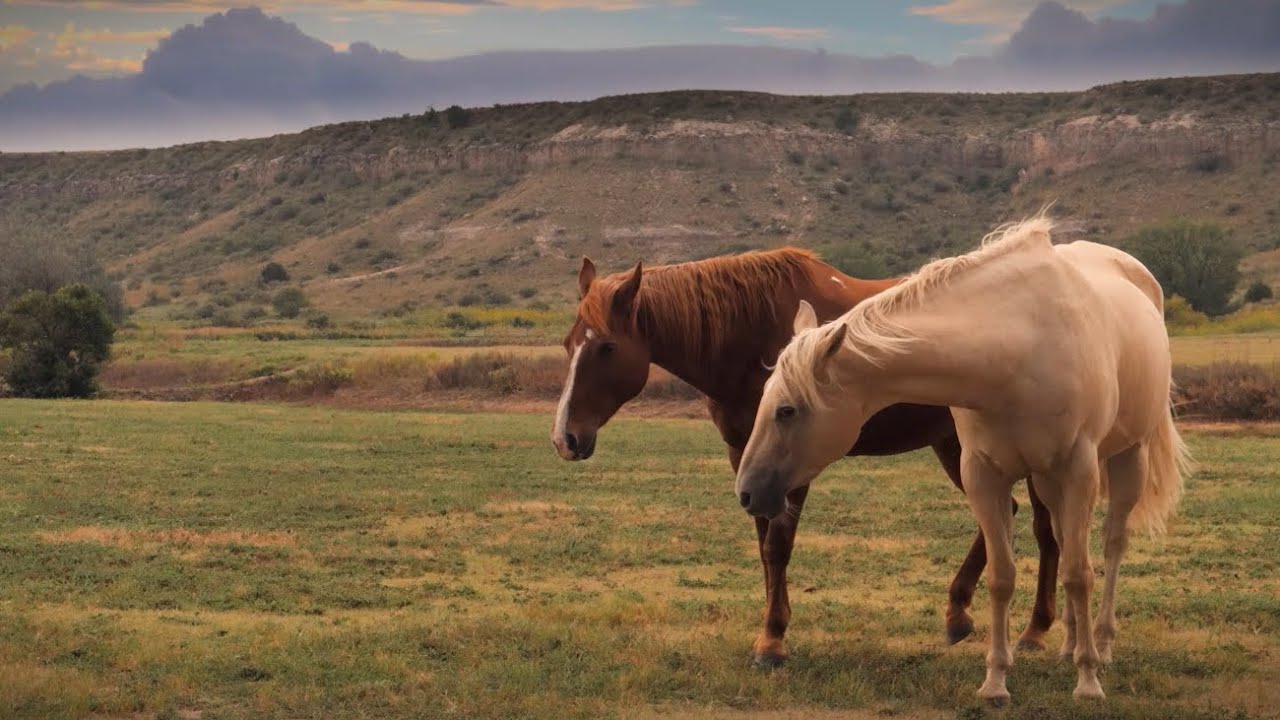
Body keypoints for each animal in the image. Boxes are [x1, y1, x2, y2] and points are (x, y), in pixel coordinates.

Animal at [550, 248, 1061, 666]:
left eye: (607, 346)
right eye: (568, 343)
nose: (565, 439)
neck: (751, 334)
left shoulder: (789, 460)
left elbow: (778, 545)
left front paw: (772, 641)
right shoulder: (746, 457)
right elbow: (764, 545)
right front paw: (774, 622)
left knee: (1038, 525)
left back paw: (1029, 629)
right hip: (954, 445)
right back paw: (967, 614)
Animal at [735, 218, 1189, 702]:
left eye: (787, 410)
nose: (747, 493)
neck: (1016, 348)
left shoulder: (1078, 469)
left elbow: (1080, 573)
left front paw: (1087, 683)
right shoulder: (984, 475)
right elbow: (1003, 575)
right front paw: (995, 682)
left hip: (1126, 458)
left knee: (1111, 543)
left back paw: (1099, 647)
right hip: (1048, 481)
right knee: (1067, 541)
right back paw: (1068, 644)